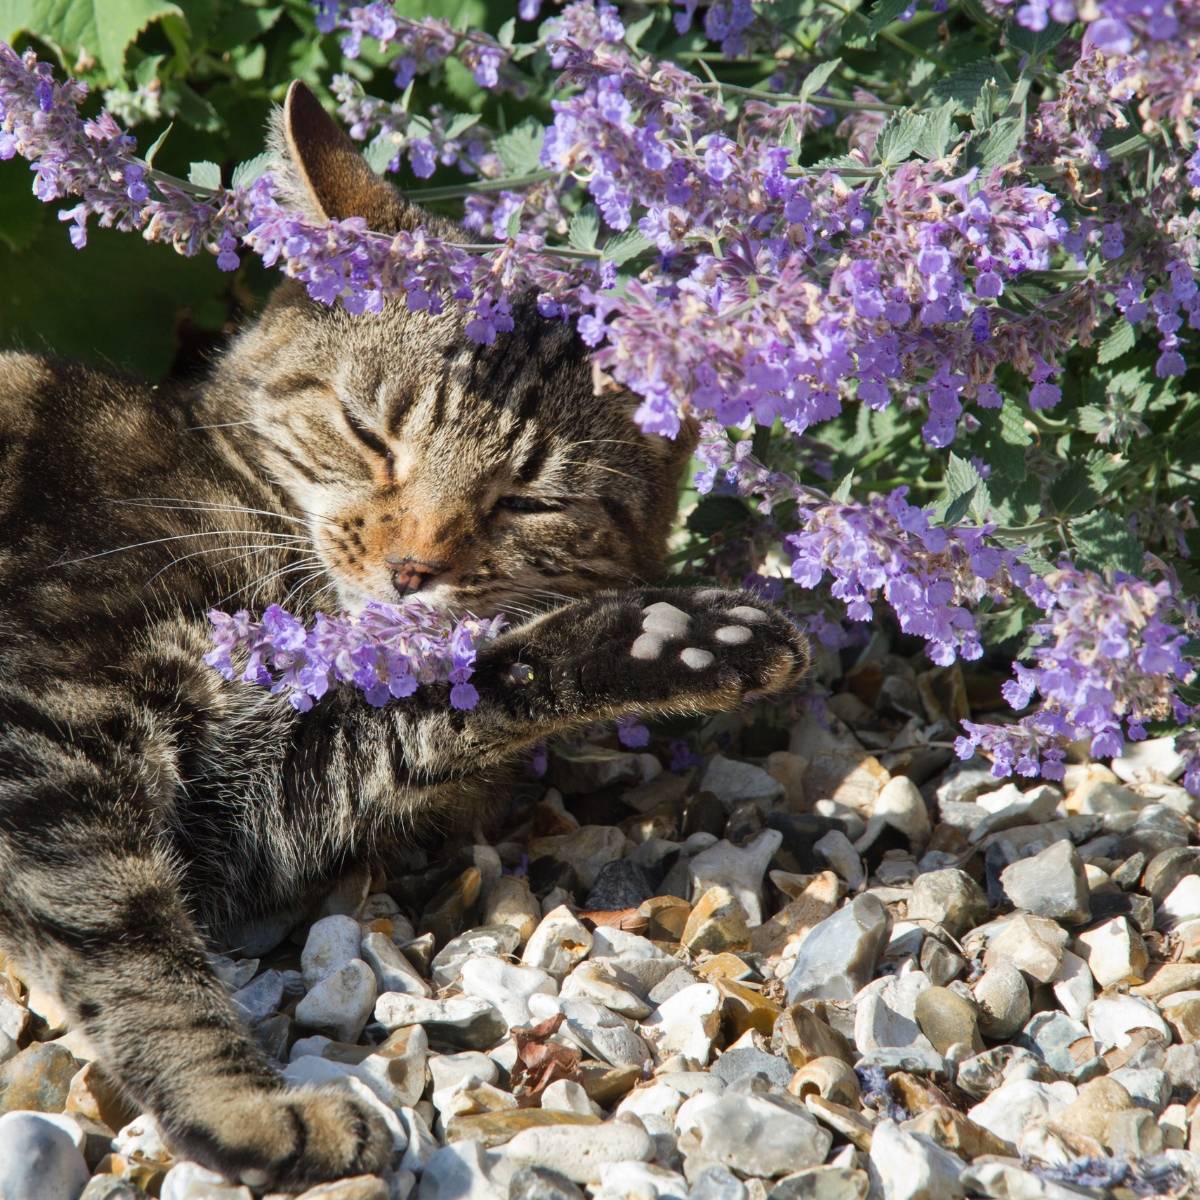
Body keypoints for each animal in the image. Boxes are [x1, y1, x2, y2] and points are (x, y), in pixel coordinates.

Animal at [0, 84, 811, 1190]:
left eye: (528, 500)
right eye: (369, 433)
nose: (413, 568)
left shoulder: (254, 798)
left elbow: (446, 699)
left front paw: (677, 637)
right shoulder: (52, 716)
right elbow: (125, 940)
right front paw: (242, 1106)